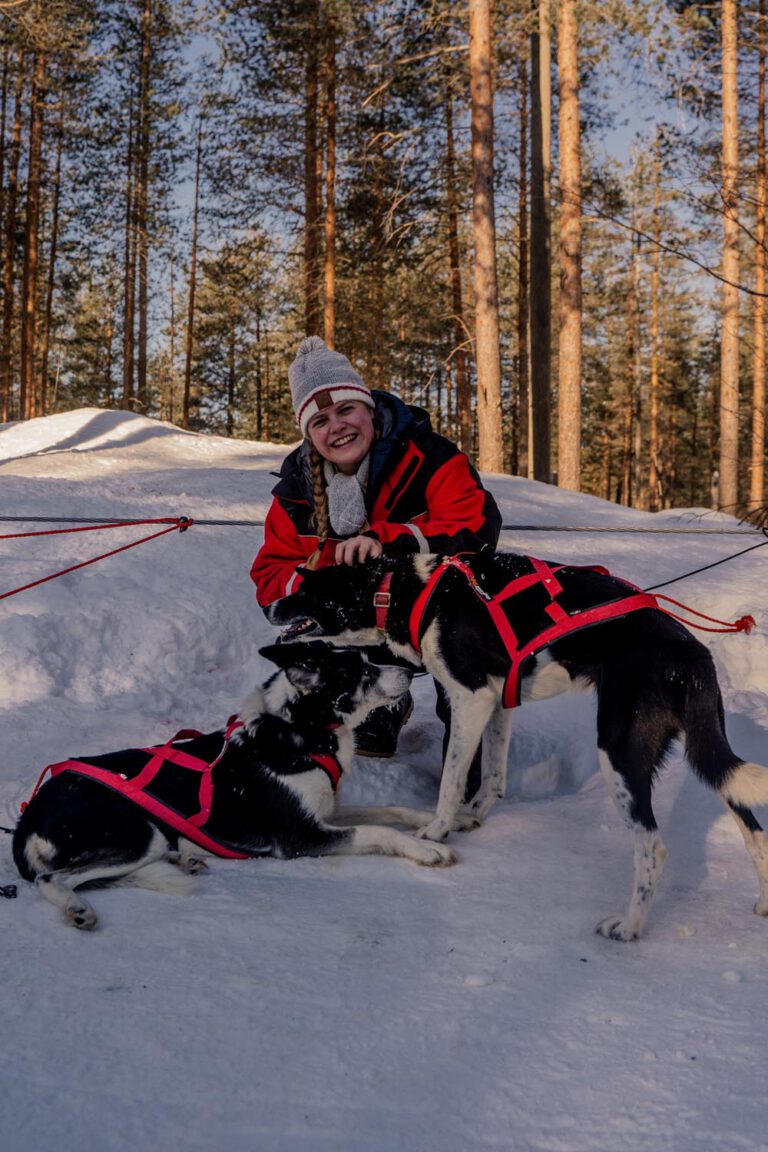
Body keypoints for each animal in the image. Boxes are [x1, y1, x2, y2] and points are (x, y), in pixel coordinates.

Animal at [12, 645, 453, 930]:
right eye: (361, 672)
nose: (412, 670)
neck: (299, 731)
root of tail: (28, 817)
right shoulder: (301, 837)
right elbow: (378, 829)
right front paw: (426, 849)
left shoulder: (324, 811)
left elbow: (388, 810)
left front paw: (431, 821)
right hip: (139, 833)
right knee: (52, 879)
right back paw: (77, 908)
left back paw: (184, 859)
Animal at [267, 552, 768, 940]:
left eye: (302, 588)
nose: (270, 605)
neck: (410, 592)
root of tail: (691, 653)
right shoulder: (499, 701)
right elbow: (493, 775)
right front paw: (473, 817)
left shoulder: (469, 698)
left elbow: (451, 780)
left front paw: (437, 830)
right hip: (710, 756)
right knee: (753, 828)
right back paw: (763, 903)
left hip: (620, 754)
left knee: (652, 848)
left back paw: (628, 927)